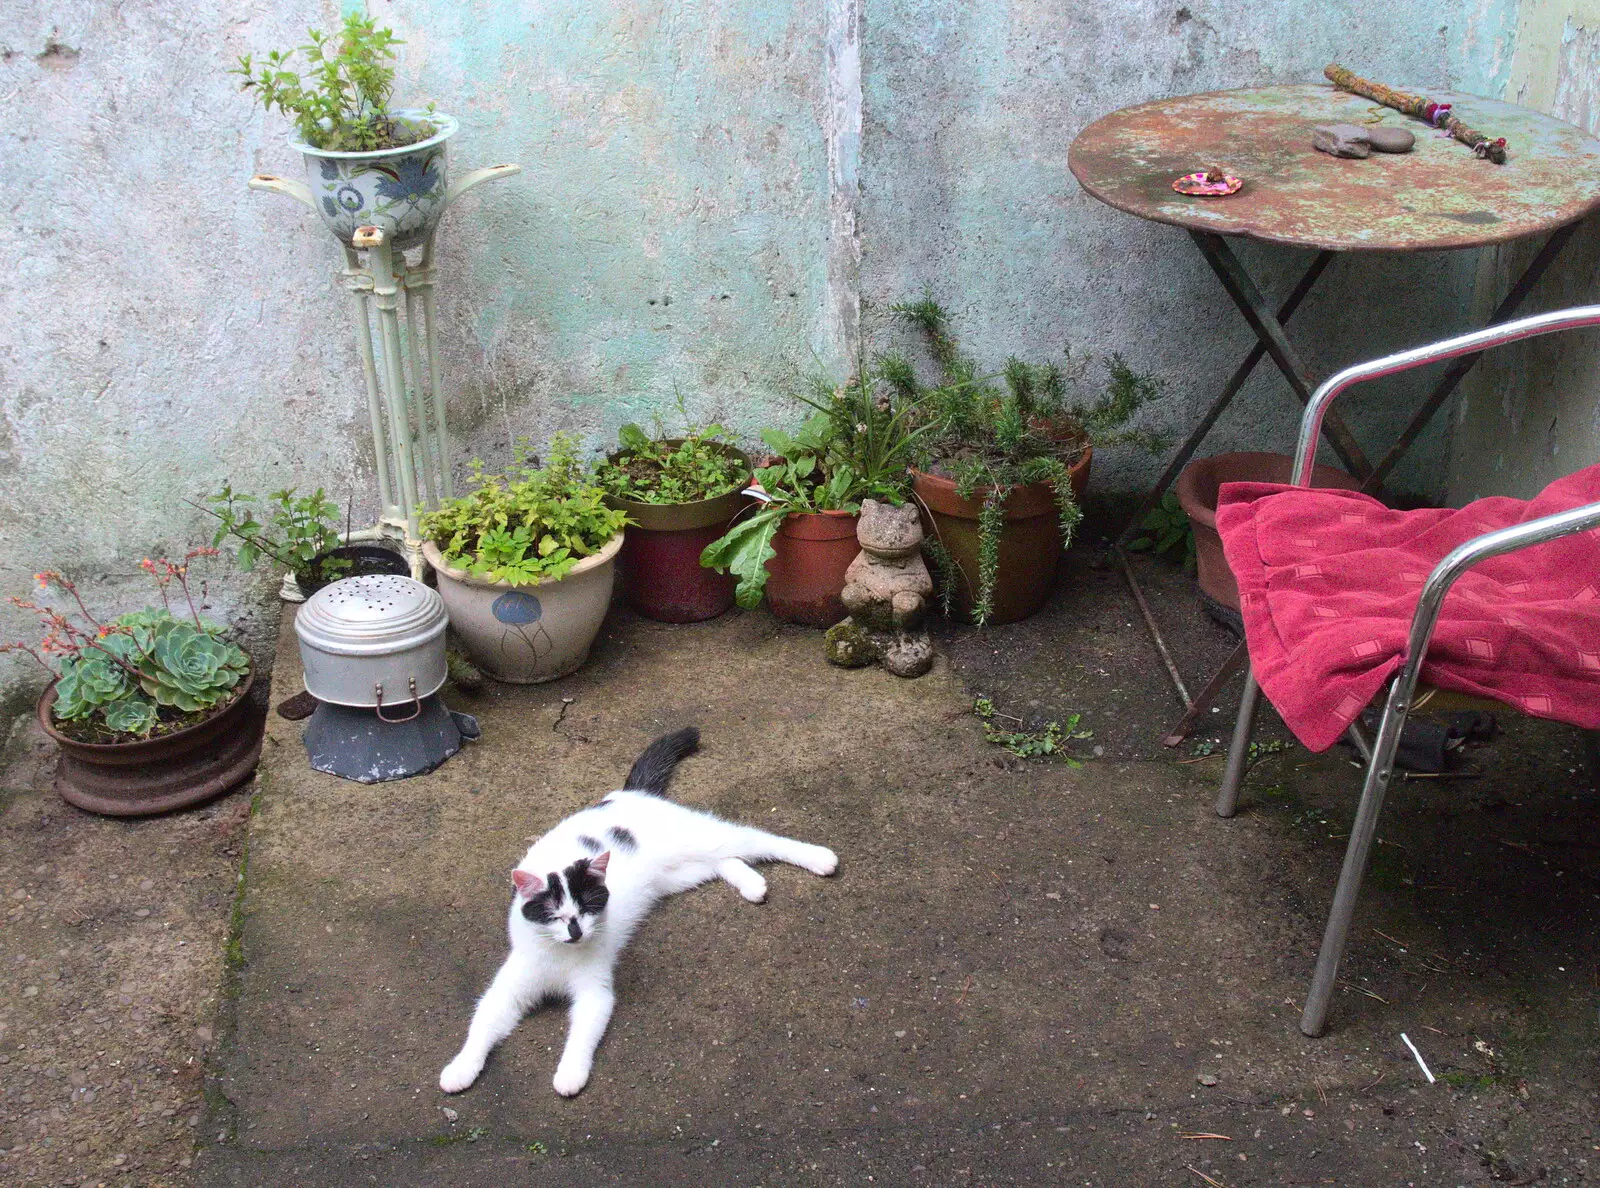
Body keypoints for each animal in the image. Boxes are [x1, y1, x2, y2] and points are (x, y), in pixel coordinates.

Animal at [438, 730, 838, 1101]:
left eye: (586, 908)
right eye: (554, 915)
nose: (576, 933)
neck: (559, 956)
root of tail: (626, 794)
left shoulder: (594, 993)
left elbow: (581, 1036)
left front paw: (570, 1074)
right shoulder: (508, 989)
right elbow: (482, 1023)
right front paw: (460, 1068)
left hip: (701, 840)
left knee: (757, 839)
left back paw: (819, 857)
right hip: (677, 874)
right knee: (723, 861)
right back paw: (753, 883)